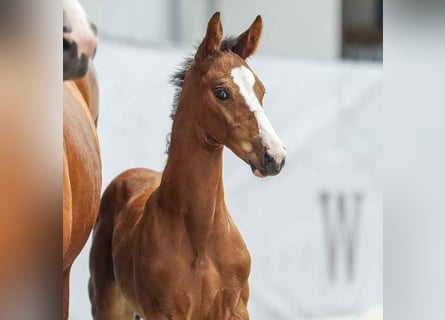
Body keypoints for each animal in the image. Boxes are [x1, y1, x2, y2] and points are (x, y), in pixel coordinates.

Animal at [88, 11, 286, 318]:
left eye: (261, 90)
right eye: (221, 92)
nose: (274, 156)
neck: (201, 237)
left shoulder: (236, 309)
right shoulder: (167, 312)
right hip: (109, 306)